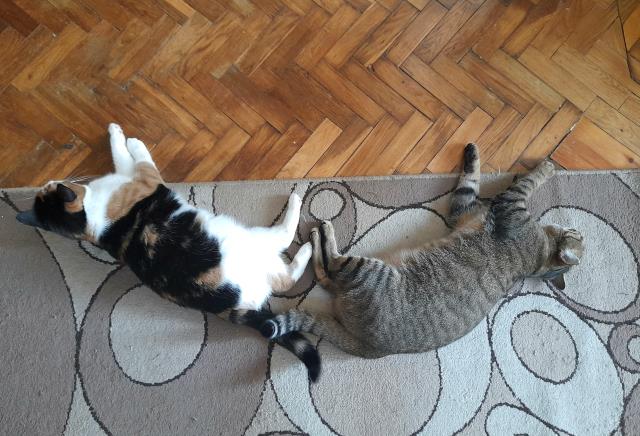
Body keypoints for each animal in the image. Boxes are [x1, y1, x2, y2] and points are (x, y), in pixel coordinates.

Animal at [16, 123, 321, 381]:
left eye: (49, 187)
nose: (50, 179)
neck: (89, 219)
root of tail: (231, 306)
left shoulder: (127, 177)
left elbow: (120, 156)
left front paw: (116, 132)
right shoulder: (145, 179)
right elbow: (138, 157)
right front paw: (131, 139)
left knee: (285, 276)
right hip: (251, 240)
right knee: (285, 255)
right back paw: (303, 226)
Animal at [260, 144, 584, 368]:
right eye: (580, 235)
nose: (580, 233)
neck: (538, 258)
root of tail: (373, 348)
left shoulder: (508, 202)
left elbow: (531, 179)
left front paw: (548, 167)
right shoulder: (464, 208)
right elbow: (471, 177)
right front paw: (473, 152)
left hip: (368, 272)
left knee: (334, 263)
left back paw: (321, 233)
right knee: (326, 275)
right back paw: (317, 238)